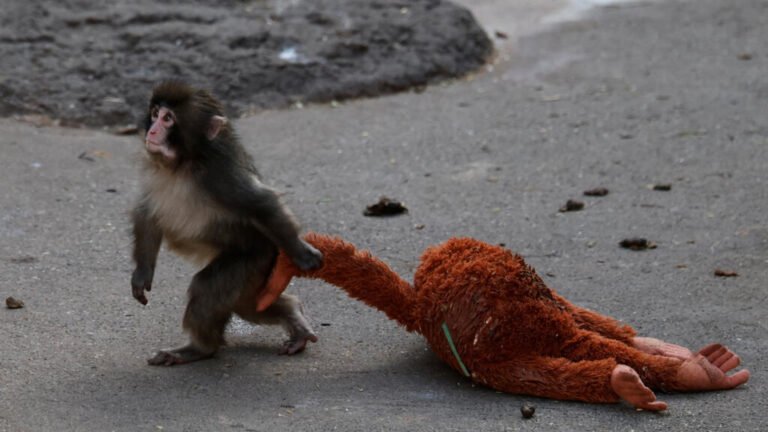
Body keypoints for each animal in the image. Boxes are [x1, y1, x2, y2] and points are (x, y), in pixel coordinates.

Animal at [131, 81, 323, 366]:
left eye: (168, 119)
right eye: (155, 114)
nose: (152, 130)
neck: (183, 163)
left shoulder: (221, 176)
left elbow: (261, 203)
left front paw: (302, 253)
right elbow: (147, 213)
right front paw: (142, 273)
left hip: (255, 258)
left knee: (209, 289)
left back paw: (200, 348)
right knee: (250, 305)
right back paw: (293, 313)